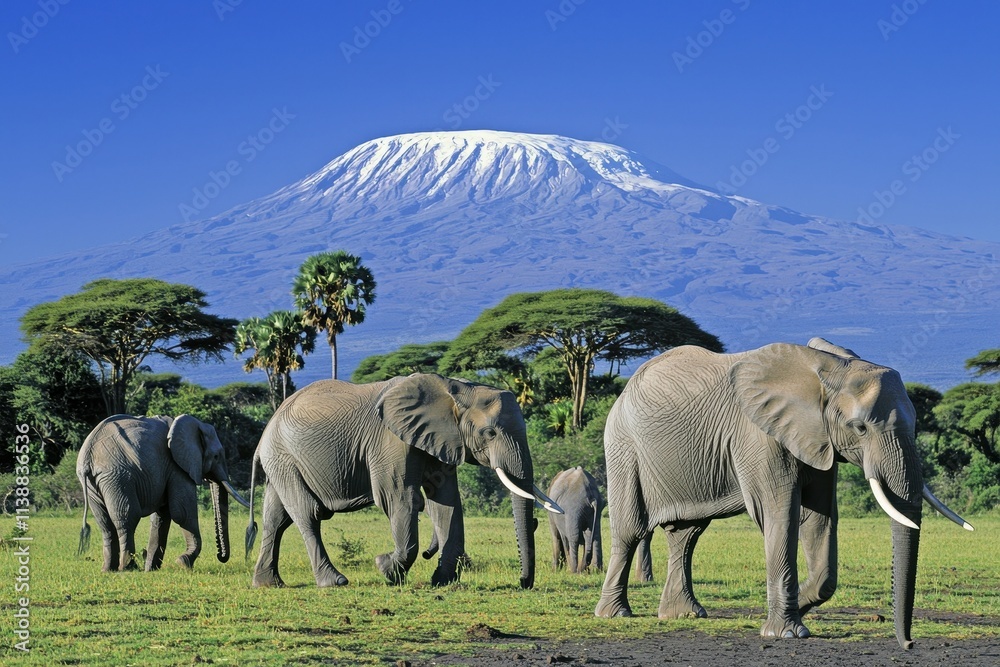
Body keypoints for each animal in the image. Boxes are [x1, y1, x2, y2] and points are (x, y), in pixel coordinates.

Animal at [77, 414, 250, 571]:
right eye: (216, 456)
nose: (221, 556)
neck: (196, 424)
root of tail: (86, 457)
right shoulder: (177, 466)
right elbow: (182, 513)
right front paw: (183, 562)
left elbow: (162, 517)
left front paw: (151, 569)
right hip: (117, 476)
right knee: (127, 518)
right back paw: (128, 568)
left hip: (96, 482)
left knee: (105, 523)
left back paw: (108, 569)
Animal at [245, 373, 562, 589]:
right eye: (490, 433)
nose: (523, 583)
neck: (456, 390)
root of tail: (263, 437)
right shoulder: (389, 440)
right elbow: (400, 497)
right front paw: (385, 568)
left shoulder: (439, 437)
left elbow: (446, 501)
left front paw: (442, 581)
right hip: (284, 457)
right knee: (308, 514)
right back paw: (334, 581)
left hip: (282, 462)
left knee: (276, 519)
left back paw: (268, 584)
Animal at [594, 338, 973, 649]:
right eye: (860, 427)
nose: (909, 644)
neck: (828, 368)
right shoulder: (759, 436)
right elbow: (781, 514)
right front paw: (787, 632)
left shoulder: (819, 441)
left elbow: (819, 520)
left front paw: (800, 604)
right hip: (622, 445)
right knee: (630, 531)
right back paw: (613, 614)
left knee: (686, 534)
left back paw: (682, 615)